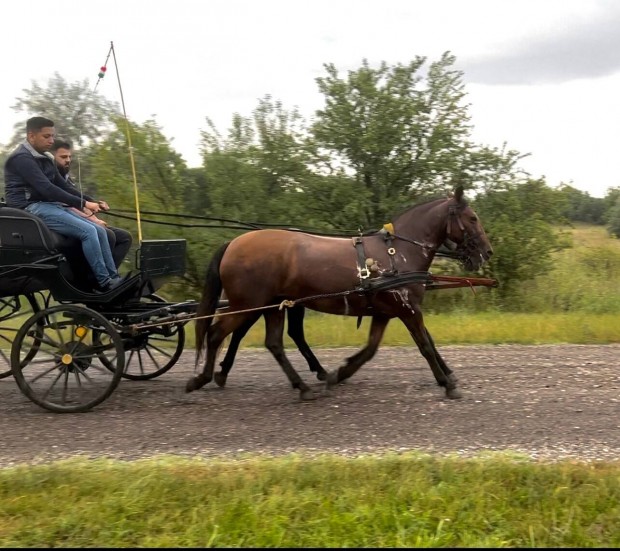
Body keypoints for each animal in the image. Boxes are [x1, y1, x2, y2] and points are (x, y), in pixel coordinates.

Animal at [189, 185, 494, 402]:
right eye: (472, 217)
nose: (487, 252)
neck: (396, 253)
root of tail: (232, 243)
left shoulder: (387, 311)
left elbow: (372, 349)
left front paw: (339, 373)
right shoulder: (407, 309)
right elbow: (424, 345)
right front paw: (448, 384)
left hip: (273, 305)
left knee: (273, 343)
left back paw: (301, 386)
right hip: (248, 303)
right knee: (216, 334)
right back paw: (202, 378)